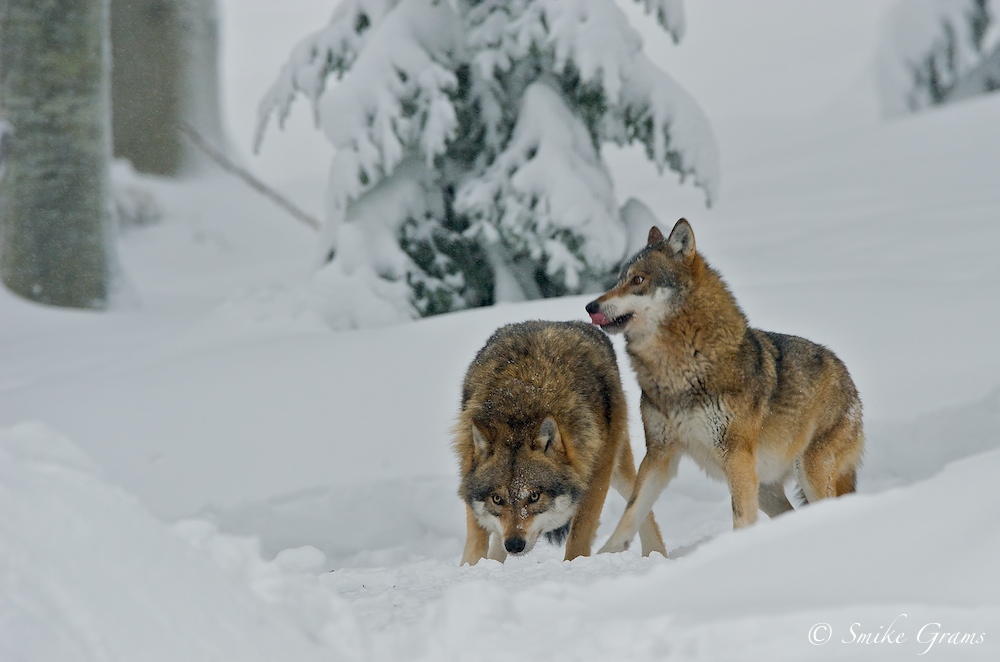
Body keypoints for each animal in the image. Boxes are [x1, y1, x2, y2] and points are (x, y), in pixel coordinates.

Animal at [454, 322, 664, 564]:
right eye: (497, 499)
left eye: (534, 496)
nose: (514, 545)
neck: (520, 402)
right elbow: (475, 543)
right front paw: (473, 567)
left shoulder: (595, 478)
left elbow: (578, 539)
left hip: (617, 467)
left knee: (639, 502)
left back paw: (657, 555)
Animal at [588, 219, 864, 556]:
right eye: (618, 280)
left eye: (638, 279)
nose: (589, 306)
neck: (681, 370)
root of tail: (846, 375)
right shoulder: (660, 453)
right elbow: (632, 511)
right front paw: (600, 557)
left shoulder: (734, 456)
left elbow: (740, 518)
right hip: (767, 488)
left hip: (808, 474)